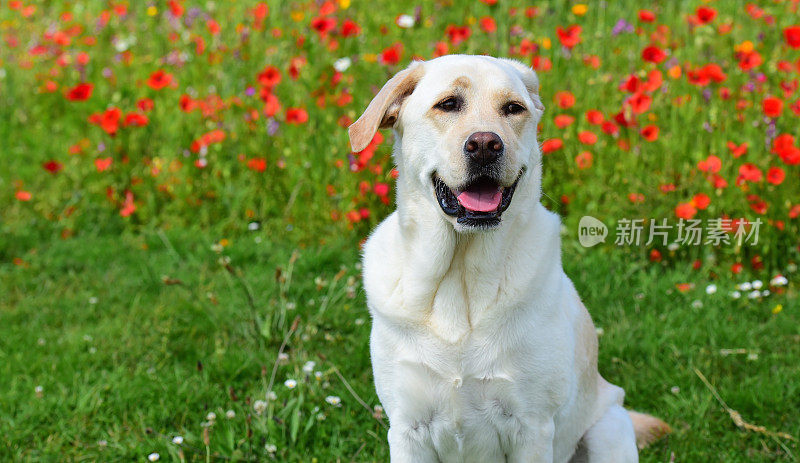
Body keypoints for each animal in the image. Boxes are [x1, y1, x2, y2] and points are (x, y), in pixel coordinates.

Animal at [350, 56, 668, 462]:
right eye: (448, 104)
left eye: (513, 108)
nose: (486, 144)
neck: (459, 274)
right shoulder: (408, 429)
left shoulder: (531, 427)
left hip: (609, 428)